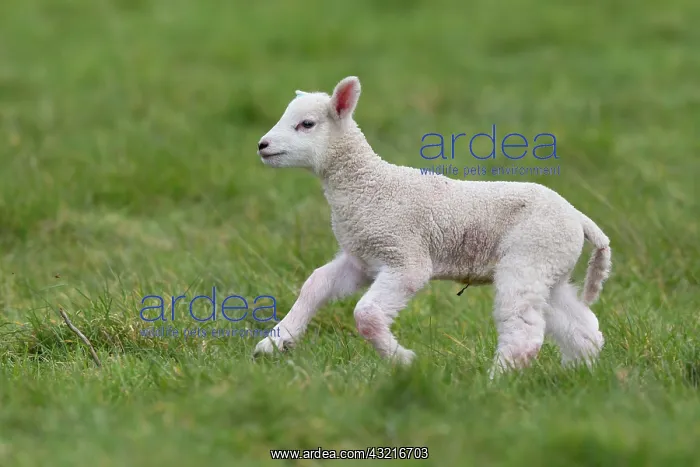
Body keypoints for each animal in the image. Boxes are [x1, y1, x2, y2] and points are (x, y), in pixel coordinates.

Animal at [253, 76, 611, 377]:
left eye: (306, 124)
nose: (262, 145)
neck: (368, 184)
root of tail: (579, 218)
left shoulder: (405, 257)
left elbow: (366, 315)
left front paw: (403, 360)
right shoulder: (363, 259)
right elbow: (315, 284)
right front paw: (274, 343)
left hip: (529, 258)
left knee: (523, 330)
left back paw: (495, 381)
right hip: (552, 269)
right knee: (581, 326)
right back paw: (579, 371)